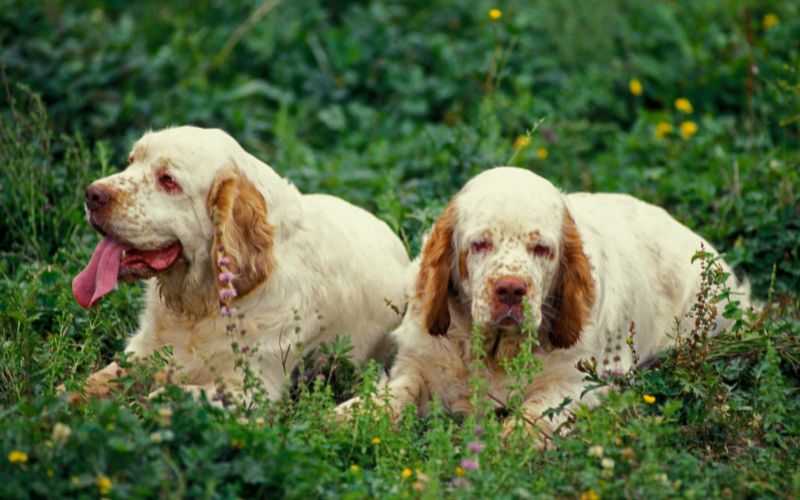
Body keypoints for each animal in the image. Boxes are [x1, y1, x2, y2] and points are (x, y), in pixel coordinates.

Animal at [65, 127, 410, 404]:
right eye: (131, 160)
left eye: (168, 181)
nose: (92, 194)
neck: (199, 306)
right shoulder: (141, 351)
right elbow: (89, 383)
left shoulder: (251, 386)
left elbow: (170, 394)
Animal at [334, 168, 748, 446]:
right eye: (480, 244)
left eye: (541, 249)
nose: (511, 289)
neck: (496, 350)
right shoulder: (419, 363)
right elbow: (396, 391)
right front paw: (351, 415)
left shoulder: (579, 381)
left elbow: (538, 409)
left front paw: (512, 442)